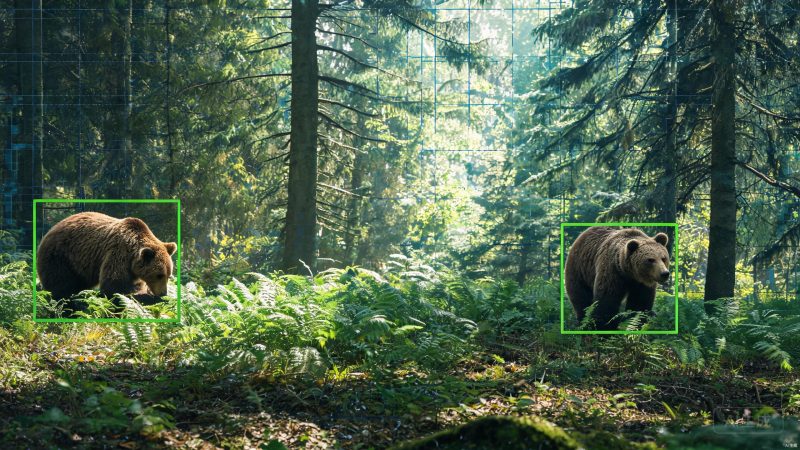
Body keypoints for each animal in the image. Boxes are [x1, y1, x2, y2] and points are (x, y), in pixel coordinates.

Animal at [36, 212, 176, 313]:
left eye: (168, 275)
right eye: (159, 275)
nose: (163, 293)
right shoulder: (118, 255)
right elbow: (114, 287)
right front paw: (148, 298)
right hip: (60, 257)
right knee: (61, 288)